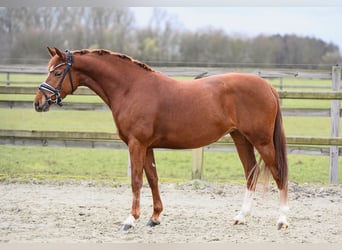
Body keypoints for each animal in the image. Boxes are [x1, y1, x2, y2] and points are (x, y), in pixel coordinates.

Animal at [34, 47, 288, 230]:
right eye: (49, 69)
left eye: (57, 72)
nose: (38, 102)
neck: (131, 88)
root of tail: (267, 86)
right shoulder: (147, 146)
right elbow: (153, 179)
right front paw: (154, 217)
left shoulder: (137, 144)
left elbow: (136, 180)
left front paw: (130, 220)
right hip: (241, 139)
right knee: (251, 173)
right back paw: (241, 217)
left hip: (262, 142)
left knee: (278, 174)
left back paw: (282, 220)